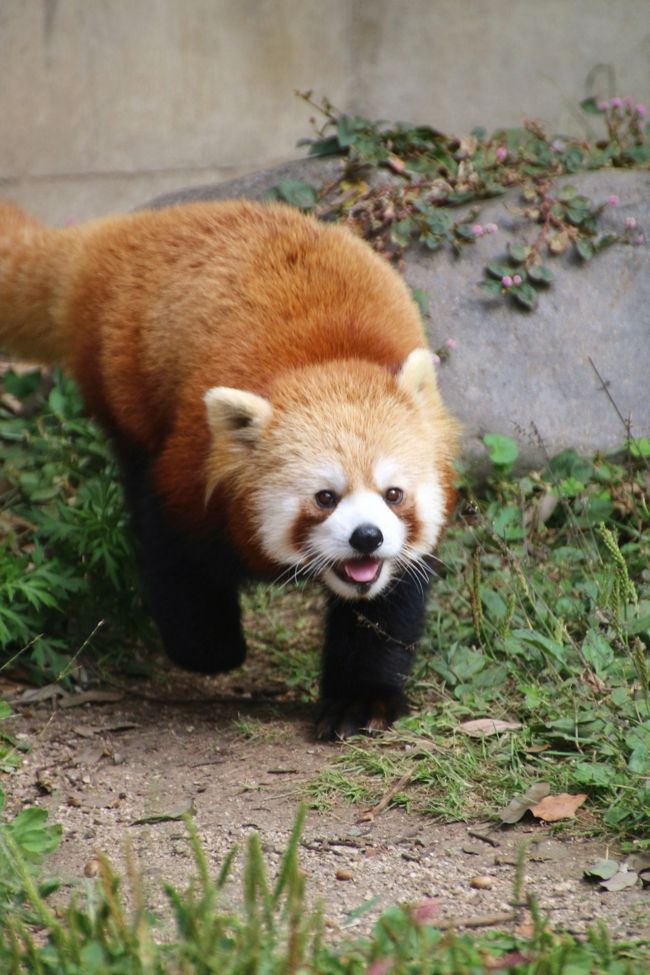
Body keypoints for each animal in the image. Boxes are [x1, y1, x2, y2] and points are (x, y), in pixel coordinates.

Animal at [0, 202, 456, 740]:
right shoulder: (190, 465)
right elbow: (174, 554)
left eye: (393, 494)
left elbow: (386, 606)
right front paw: (209, 650)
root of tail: (117, 231)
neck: (325, 360)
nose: (367, 537)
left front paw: (361, 700)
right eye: (325, 497)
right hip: (126, 379)